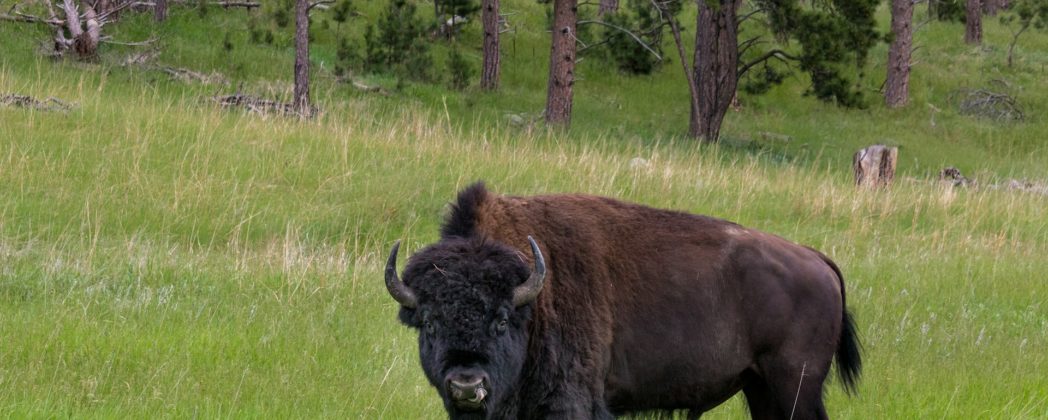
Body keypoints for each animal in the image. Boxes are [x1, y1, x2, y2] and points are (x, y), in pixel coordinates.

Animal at [385, 183, 861, 419]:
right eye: (429, 322)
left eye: (502, 319)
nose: (467, 385)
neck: (534, 301)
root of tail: (817, 260)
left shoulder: (570, 403)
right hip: (760, 387)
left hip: (795, 386)